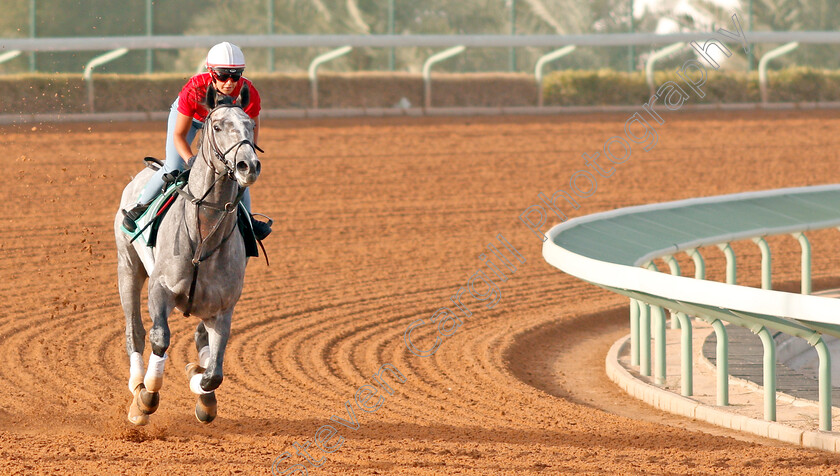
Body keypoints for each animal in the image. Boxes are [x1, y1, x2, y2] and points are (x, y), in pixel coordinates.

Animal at [113, 83, 260, 426]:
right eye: (217, 126)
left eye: (250, 125)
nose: (248, 166)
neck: (203, 234)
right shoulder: (160, 289)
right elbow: (160, 338)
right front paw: (145, 399)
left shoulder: (223, 308)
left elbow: (214, 371)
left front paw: (201, 386)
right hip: (128, 267)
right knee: (135, 332)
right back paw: (137, 386)